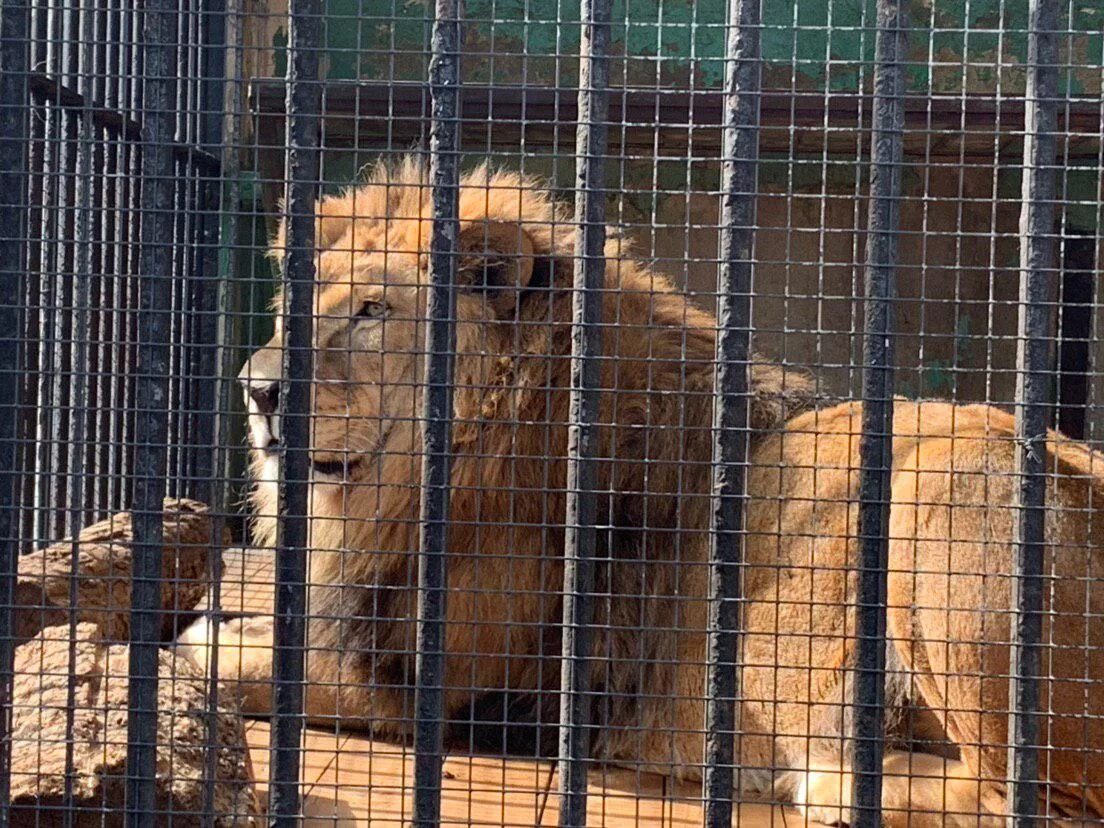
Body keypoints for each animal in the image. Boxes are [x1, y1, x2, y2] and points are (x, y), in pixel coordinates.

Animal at [183, 158, 1104, 825]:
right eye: (292, 309)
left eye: (374, 311)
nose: (257, 389)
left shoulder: (445, 682)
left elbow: (252, 664)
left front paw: (203, 642)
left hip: (952, 476)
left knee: (1026, 799)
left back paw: (830, 781)